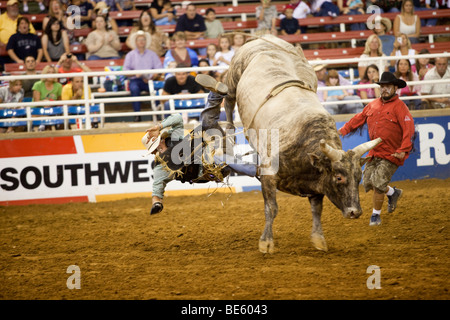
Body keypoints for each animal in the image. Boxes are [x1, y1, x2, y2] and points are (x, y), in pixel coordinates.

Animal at [221, 35, 380, 254]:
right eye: (339, 177)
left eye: (359, 177)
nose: (355, 212)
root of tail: (267, 38)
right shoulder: (268, 174)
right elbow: (272, 208)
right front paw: (266, 242)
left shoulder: (316, 185)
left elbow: (316, 209)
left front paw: (319, 239)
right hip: (233, 77)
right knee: (227, 100)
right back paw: (229, 131)